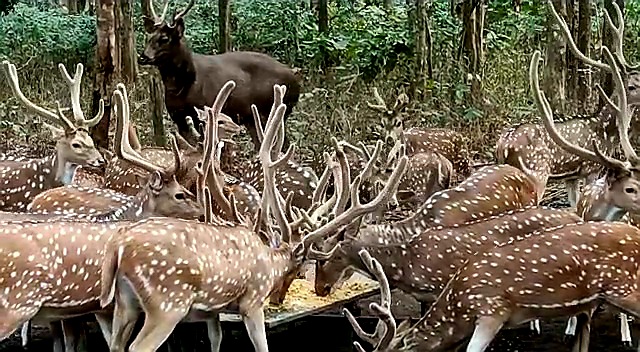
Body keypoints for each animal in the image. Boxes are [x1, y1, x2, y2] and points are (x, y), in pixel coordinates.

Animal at [99, 82, 410, 352]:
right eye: (295, 270)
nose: (278, 298)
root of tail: (121, 252)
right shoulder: (252, 302)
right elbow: (260, 345)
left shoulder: (214, 310)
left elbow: (216, 338)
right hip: (167, 304)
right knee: (137, 346)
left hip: (126, 305)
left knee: (116, 342)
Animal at [138, 0, 302, 149]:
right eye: (149, 36)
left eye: (164, 38)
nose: (143, 57)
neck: (184, 87)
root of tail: (296, 79)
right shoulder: (178, 118)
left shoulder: (205, 113)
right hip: (253, 118)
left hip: (275, 111)